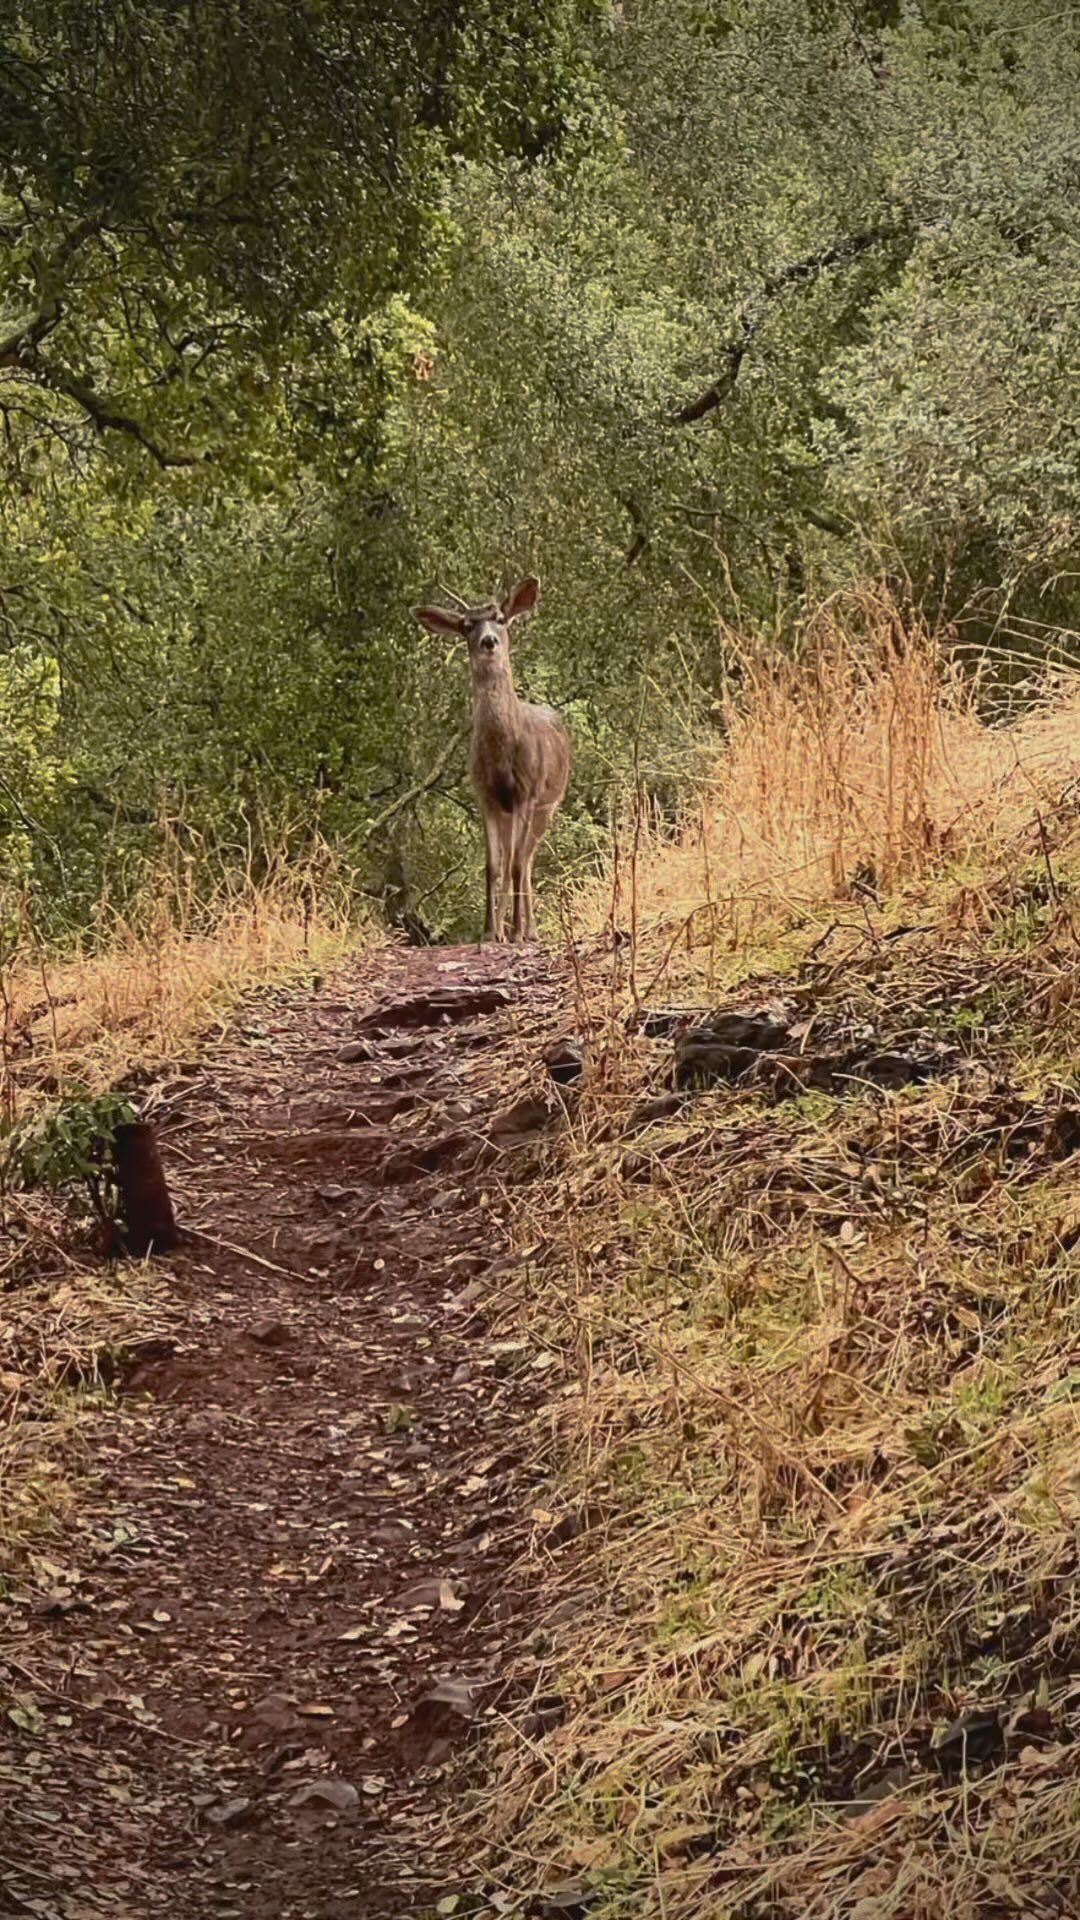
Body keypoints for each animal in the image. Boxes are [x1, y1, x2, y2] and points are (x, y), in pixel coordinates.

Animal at [412, 577, 570, 943]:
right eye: (467, 625)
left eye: (500, 618)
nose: (488, 641)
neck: (503, 753)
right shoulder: (485, 795)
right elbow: (493, 866)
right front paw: (488, 932)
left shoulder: (527, 792)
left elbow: (515, 864)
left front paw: (516, 932)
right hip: (510, 811)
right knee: (518, 858)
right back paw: (508, 929)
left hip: (548, 805)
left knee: (526, 859)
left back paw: (528, 931)